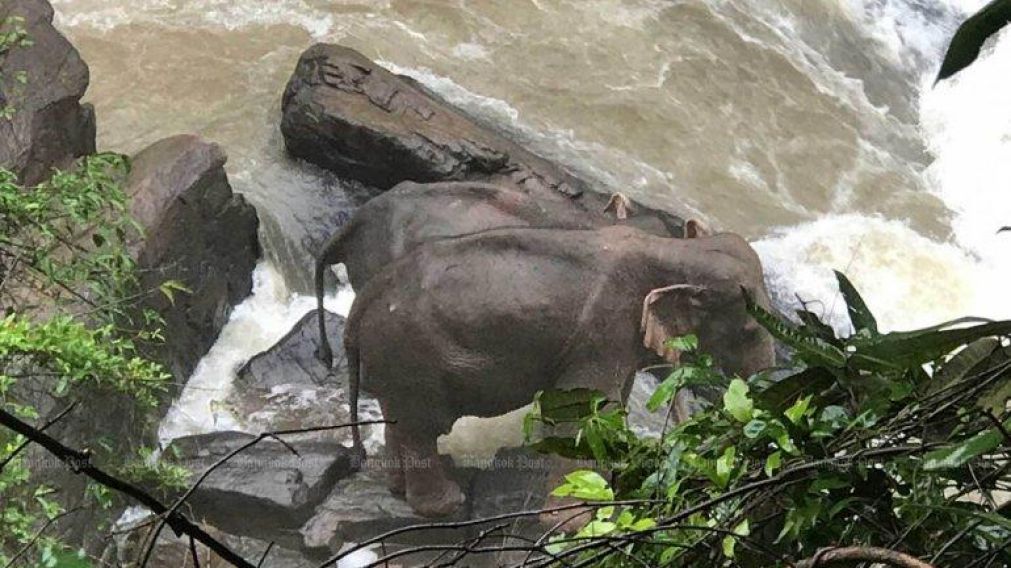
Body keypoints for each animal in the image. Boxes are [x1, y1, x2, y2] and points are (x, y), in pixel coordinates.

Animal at [342, 224, 774, 517]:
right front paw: (575, 521)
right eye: (750, 330)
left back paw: (399, 490)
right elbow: (585, 410)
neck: (671, 249)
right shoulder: (604, 327)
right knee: (421, 427)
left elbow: (611, 406)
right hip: (410, 357)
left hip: (395, 361)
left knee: (399, 421)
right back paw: (447, 505)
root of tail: (360, 303)